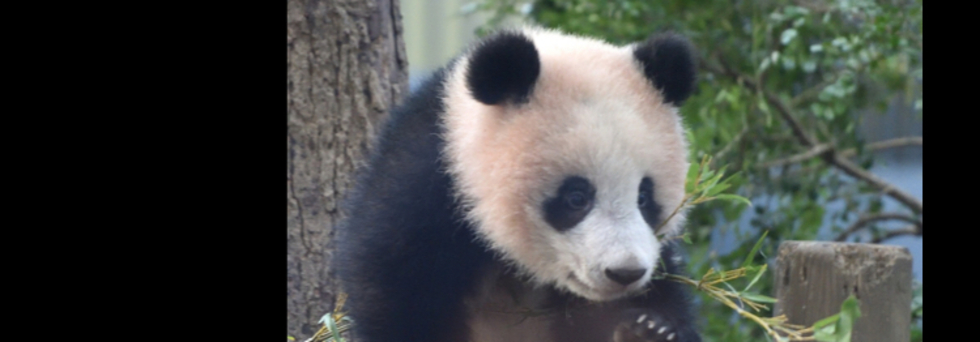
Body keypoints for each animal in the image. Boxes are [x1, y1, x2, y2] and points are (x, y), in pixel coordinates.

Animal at [338, 26, 704, 342]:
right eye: (576, 198)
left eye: (644, 197)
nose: (625, 273)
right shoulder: (424, 191)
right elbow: (395, 294)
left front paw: (648, 330)